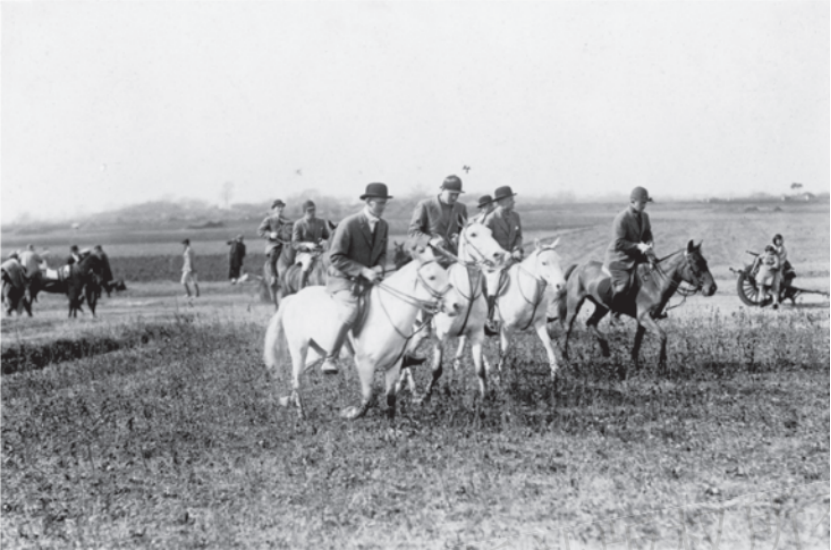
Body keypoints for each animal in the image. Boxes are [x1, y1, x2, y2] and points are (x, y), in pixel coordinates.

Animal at [264, 244, 462, 420]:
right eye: (432, 277)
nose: (457, 305)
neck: (389, 313)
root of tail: (293, 298)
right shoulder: (365, 364)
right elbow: (367, 398)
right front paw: (351, 413)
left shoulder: (393, 365)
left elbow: (391, 399)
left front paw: (392, 429)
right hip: (299, 348)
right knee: (297, 377)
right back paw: (301, 414)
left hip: (317, 352)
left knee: (296, 377)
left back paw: (288, 400)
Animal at [564, 242, 720, 380]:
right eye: (695, 262)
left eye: (704, 261)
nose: (712, 288)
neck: (656, 283)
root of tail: (579, 267)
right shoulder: (645, 318)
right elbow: (663, 336)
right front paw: (661, 365)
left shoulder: (643, 321)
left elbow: (637, 342)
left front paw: (635, 366)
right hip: (574, 303)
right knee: (568, 327)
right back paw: (566, 358)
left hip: (601, 306)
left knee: (591, 322)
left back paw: (605, 349)